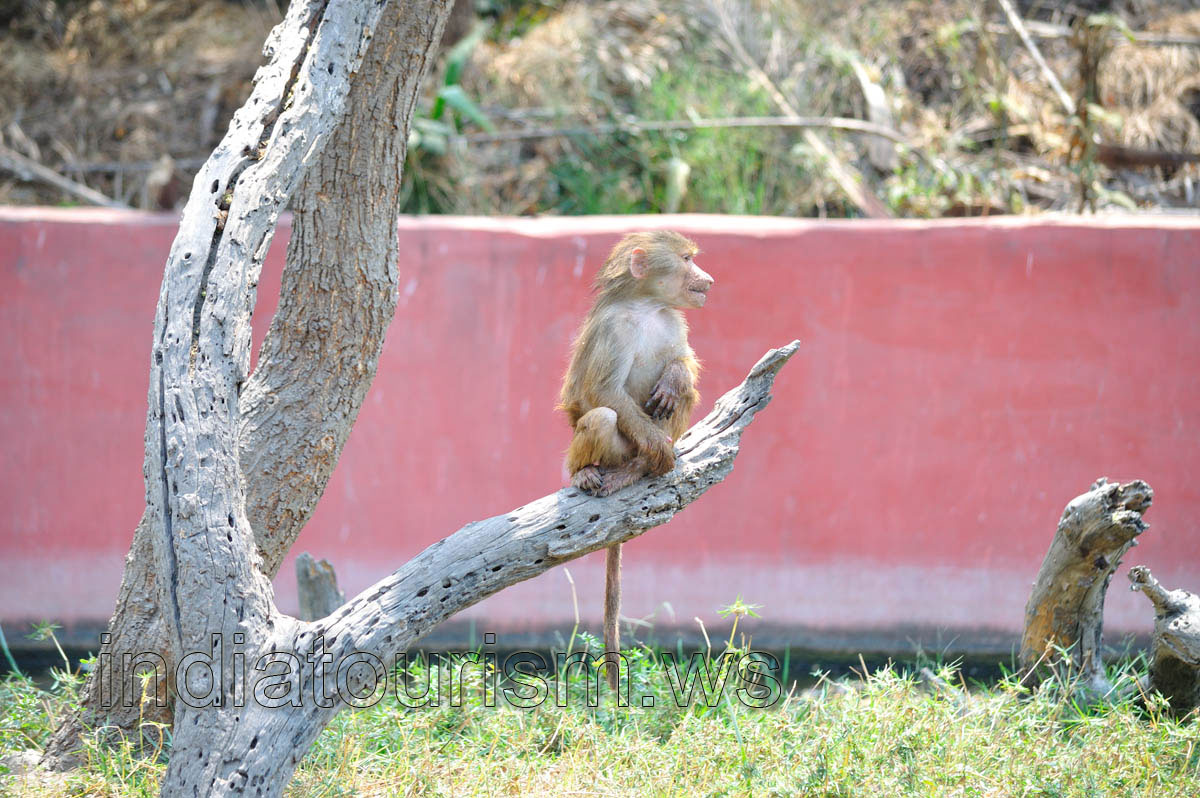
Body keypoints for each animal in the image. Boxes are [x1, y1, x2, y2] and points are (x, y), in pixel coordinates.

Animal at [558, 230, 714, 689]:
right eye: (687, 259)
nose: (709, 280)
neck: (647, 307)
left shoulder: (674, 320)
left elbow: (683, 363)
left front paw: (675, 379)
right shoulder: (613, 327)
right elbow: (604, 392)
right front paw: (661, 451)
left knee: (683, 394)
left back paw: (641, 469)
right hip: (607, 446)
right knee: (602, 418)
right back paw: (593, 473)